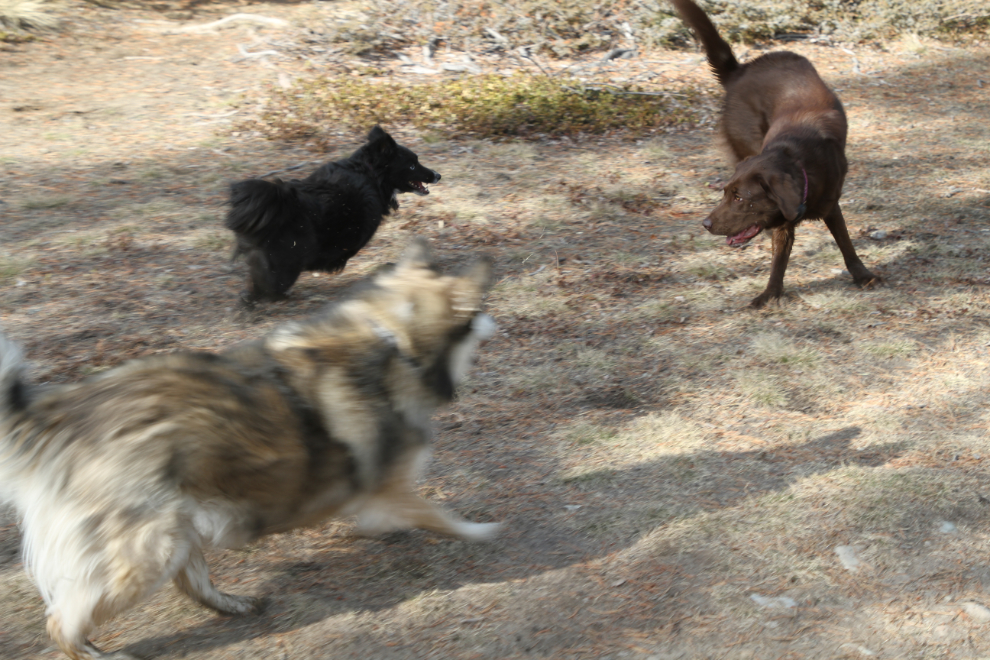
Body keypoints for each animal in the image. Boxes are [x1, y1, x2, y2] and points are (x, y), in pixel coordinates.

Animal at [0, 238, 496, 660]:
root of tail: (61, 417)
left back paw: (235, 604)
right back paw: (99, 652)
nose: (495, 320)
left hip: (177, 531)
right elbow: (439, 516)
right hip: (147, 550)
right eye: (478, 311)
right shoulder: (395, 488)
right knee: (63, 620)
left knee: (192, 583)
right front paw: (481, 531)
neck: (395, 337)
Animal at [672, 0, 880, 308]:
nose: (705, 224)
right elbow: (779, 258)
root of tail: (741, 70)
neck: (794, 157)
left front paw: (862, 275)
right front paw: (770, 294)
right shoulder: (782, 220)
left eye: (739, 198)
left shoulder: (831, 206)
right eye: (725, 194)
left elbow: (845, 243)